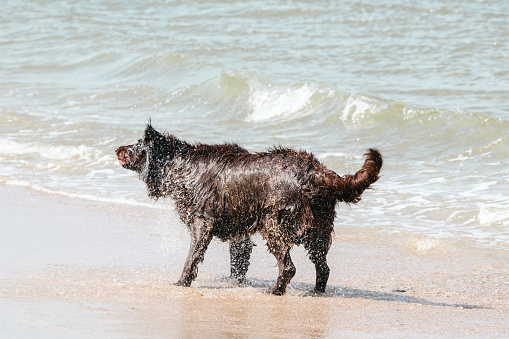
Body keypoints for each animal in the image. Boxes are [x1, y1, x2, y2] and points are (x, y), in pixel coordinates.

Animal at [114, 123, 378, 296]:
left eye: (136, 145)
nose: (117, 149)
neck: (182, 167)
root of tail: (318, 172)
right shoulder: (239, 230)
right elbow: (238, 262)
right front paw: (234, 284)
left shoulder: (202, 223)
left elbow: (192, 258)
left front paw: (181, 282)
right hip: (318, 230)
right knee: (323, 268)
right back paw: (315, 292)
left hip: (274, 224)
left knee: (289, 267)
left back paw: (274, 291)